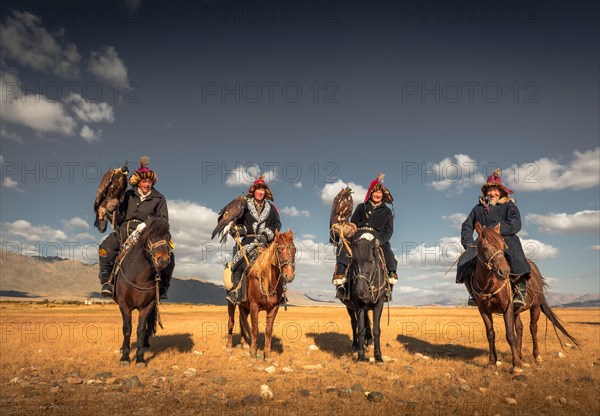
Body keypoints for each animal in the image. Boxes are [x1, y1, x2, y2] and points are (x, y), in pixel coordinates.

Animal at [112, 218, 173, 368]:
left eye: (168, 238)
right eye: (150, 237)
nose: (163, 260)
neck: (139, 277)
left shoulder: (148, 305)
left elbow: (140, 329)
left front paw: (140, 358)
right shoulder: (124, 304)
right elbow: (127, 328)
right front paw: (125, 357)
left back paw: (145, 345)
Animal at [226, 229, 296, 360]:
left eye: (295, 250)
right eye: (279, 251)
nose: (289, 276)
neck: (267, 281)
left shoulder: (274, 308)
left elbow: (268, 330)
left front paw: (267, 354)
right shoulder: (254, 306)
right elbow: (255, 329)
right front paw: (253, 352)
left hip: (244, 306)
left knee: (242, 322)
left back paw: (244, 344)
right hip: (231, 302)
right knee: (231, 322)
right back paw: (228, 345)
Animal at [340, 228, 386, 360]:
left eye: (371, 261)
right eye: (353, 261)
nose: (361, 290)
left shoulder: (379, 303)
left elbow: (376, 330)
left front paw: (378, 356)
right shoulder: (358, 304)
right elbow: (360, 329)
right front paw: (361, 356)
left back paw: (369, 340)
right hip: (349, 307)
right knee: (354, 324)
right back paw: (355, 345)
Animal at [468, 223, 580, 372]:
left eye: (503, 246)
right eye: (485, 248)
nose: (504, 271)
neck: (489, 284)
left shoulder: (507, 307)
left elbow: (510, 335)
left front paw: (516, 365)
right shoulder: (483, 310)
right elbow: (491, 334)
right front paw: (492, 361)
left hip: (535, 307)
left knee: (533, 328)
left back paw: (536, 356)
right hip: (517, 310)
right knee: (520, 329)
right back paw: (520, 354)